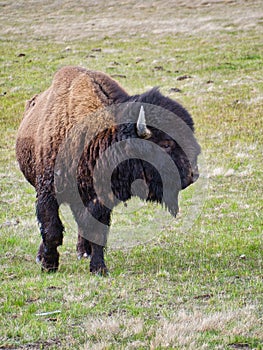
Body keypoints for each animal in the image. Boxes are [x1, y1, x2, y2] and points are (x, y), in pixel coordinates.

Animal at [16, 65, 201, 274]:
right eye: (167, 144)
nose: (193, 175)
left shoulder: (100, 198)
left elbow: (97, 231)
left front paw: (98, 268)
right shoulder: (47, 193)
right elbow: (51, 229)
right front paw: (48, 265)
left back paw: (83, 252)